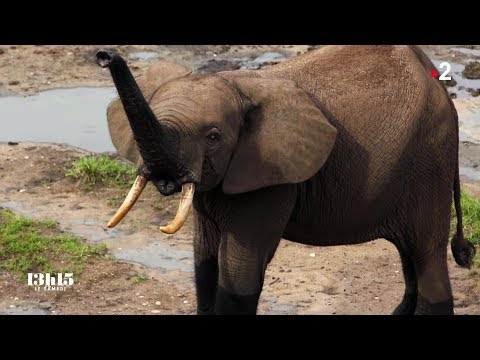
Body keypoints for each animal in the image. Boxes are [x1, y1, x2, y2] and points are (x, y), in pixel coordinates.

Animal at [97, 45, 476, 316]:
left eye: (214, 137)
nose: (104, 55)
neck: (236, 84)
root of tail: (441, 91)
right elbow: (204, 265)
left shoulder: (270, 178)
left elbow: (239, 273)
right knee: (410, 259)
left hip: (430, 162)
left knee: (426, 257)